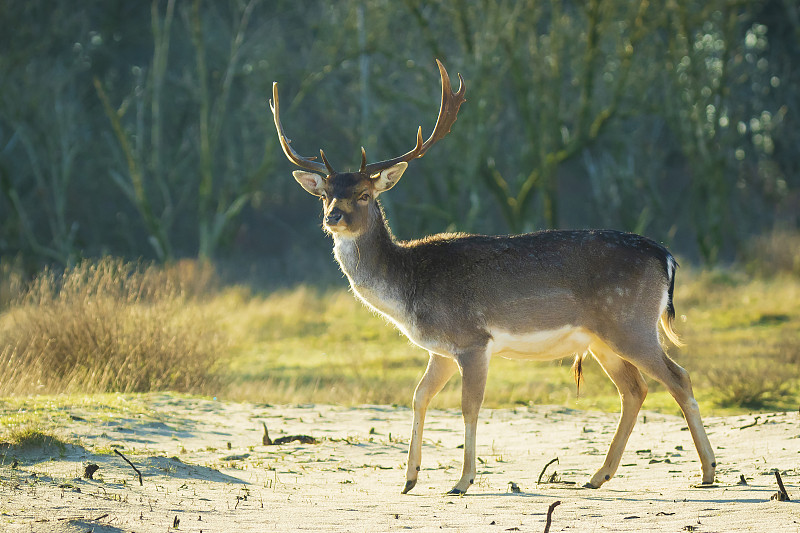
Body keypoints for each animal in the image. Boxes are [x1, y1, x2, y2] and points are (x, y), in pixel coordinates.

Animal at [268, 59, 712, 494]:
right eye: (325, 194)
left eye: (364, 194)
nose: (333, 217)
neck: (409, 288)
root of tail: (666, 256)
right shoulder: (441, 350)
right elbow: (418, 396)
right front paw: (409, 479)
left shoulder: (472, 340)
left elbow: (469, 406)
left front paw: (462, 481)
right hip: (602, 338)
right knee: (634, 389)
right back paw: (597, 475)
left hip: (629, 323)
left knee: (679, 377)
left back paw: (708, 471)